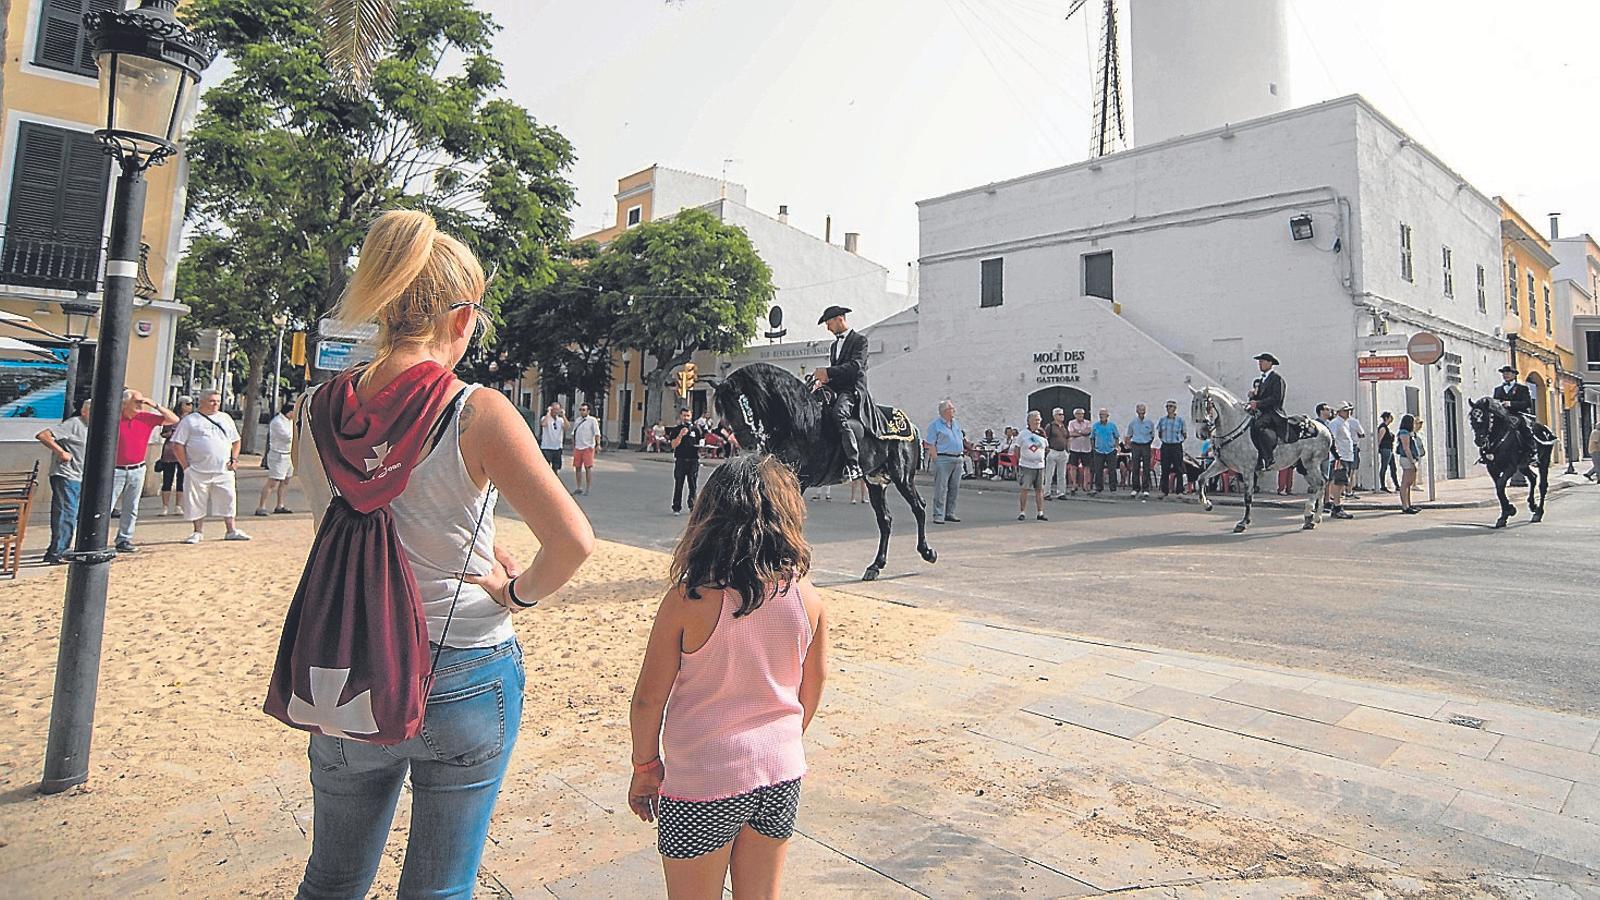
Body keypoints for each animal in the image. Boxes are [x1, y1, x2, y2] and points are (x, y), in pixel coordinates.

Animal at [716, 360, 934, 576]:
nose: (746, 443)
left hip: (902, 477)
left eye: (741, 404)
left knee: (918, 507)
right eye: (725, 411)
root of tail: (910, 425)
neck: (799, 423)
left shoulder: (798, 481)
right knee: (885, 519)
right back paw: (875, 566)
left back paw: (927, 552)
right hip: (875, 482)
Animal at [1190, 379, 1337, 531]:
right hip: (1303, 466)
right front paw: (1207, 504)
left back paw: (1314, 515)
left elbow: (1248, 497)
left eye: (1205, 406)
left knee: (1321, 483)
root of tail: (1324, 428)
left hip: (1310, 463)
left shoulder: (1247, 470)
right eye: (1193, 407)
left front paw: (1243, 522)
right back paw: (1310, 517)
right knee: (1318, 485)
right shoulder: (1222, 464)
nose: (1201, 434)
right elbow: (1201, 478)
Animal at [1465, 395, 1555, 528]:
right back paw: (1532, 505)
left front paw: (1509, 511)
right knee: (1533, 478)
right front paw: (1505, 514)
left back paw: (1538, 513)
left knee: (1543, 485)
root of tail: (1546, 430)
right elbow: (1499, 488)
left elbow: (1500, 486)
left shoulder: (1510, 468)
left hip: (1544, 461)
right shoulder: (1492, 468)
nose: (1479, 441)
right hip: (1523, 465)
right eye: (1472, 419)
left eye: (1486, 418)